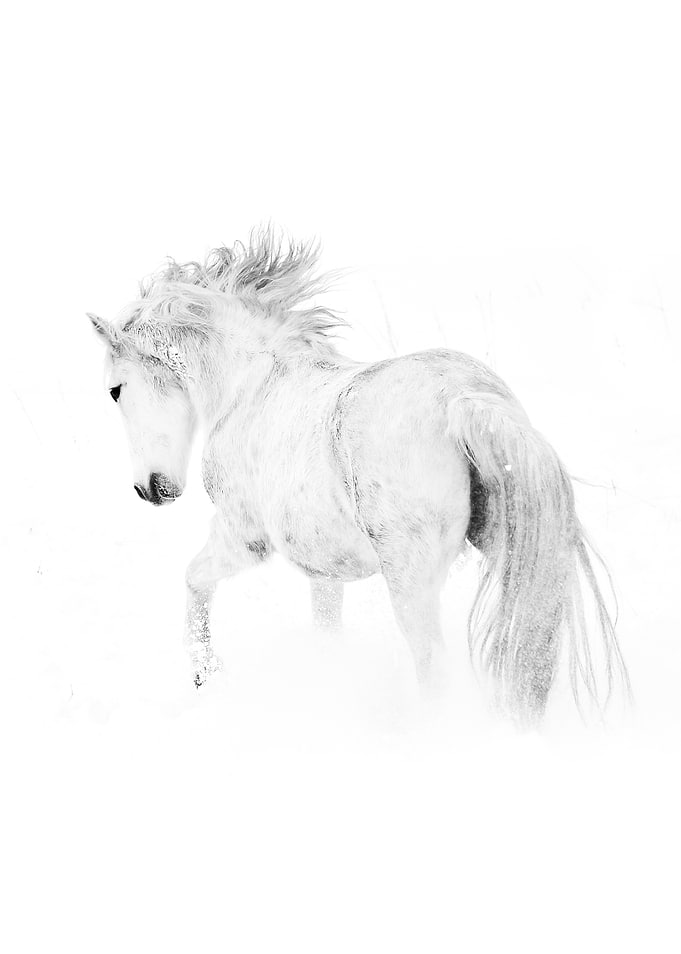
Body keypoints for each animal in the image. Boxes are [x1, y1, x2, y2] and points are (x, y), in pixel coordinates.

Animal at [88, 227, 629, 724]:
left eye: (115, 390)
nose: (149, 489)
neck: (252, 385)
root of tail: (462, 401)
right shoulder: (326, 572)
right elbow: (326, 633)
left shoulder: (244, 538)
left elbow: (194, 579)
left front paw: (205, 674)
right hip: (512, 545)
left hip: (411, 580)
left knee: (433, 666)